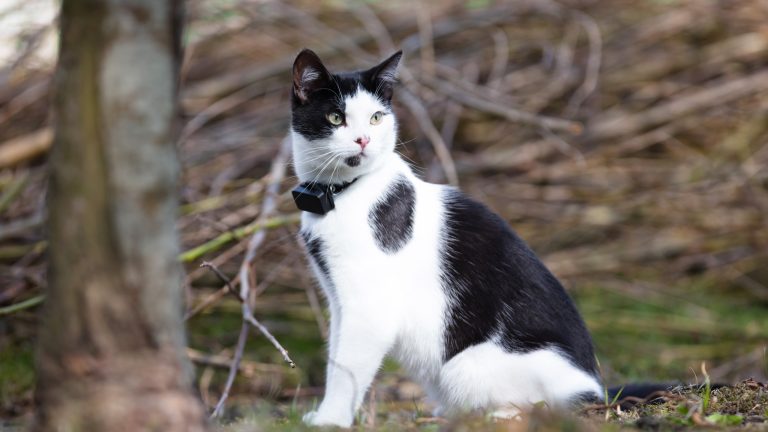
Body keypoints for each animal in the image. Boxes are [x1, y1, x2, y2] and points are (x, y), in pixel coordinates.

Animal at [292, 49, 604, 426]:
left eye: (376, 118)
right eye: (336, 117)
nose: (363, 140)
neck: (339, 195)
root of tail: (593, 389)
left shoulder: (370, 309)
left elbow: (347, 368)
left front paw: (331, 420)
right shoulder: (339, 301)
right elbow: (334, 357)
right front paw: (326, 414)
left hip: (466, 366)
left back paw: (493, 415)